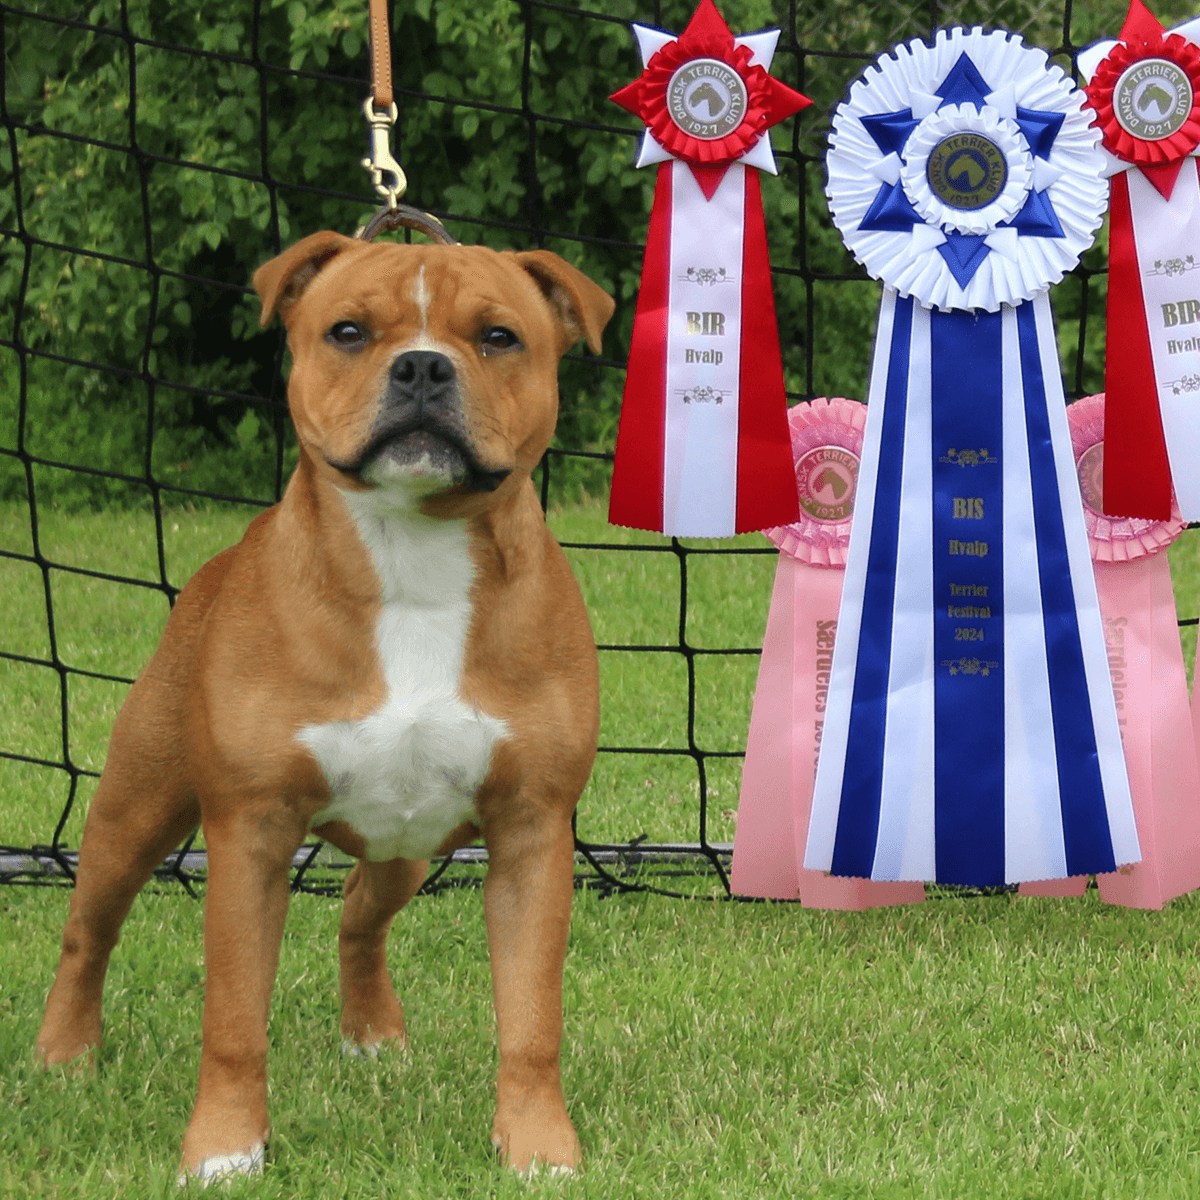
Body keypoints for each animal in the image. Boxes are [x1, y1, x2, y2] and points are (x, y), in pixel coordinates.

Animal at [35, 229, 619, 1176]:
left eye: (499, 337)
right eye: (347, 331)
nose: (422, 367)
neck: (412, 560)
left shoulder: (531, 831)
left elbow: (533, 1018)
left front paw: (537, 1148)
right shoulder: (251, 833)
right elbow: (234, 1019)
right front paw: (225, 1150)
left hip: (407, 845)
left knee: (358, 911)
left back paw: (371, 1034)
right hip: (135, 809)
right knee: (90, 929)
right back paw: (64, 1054)